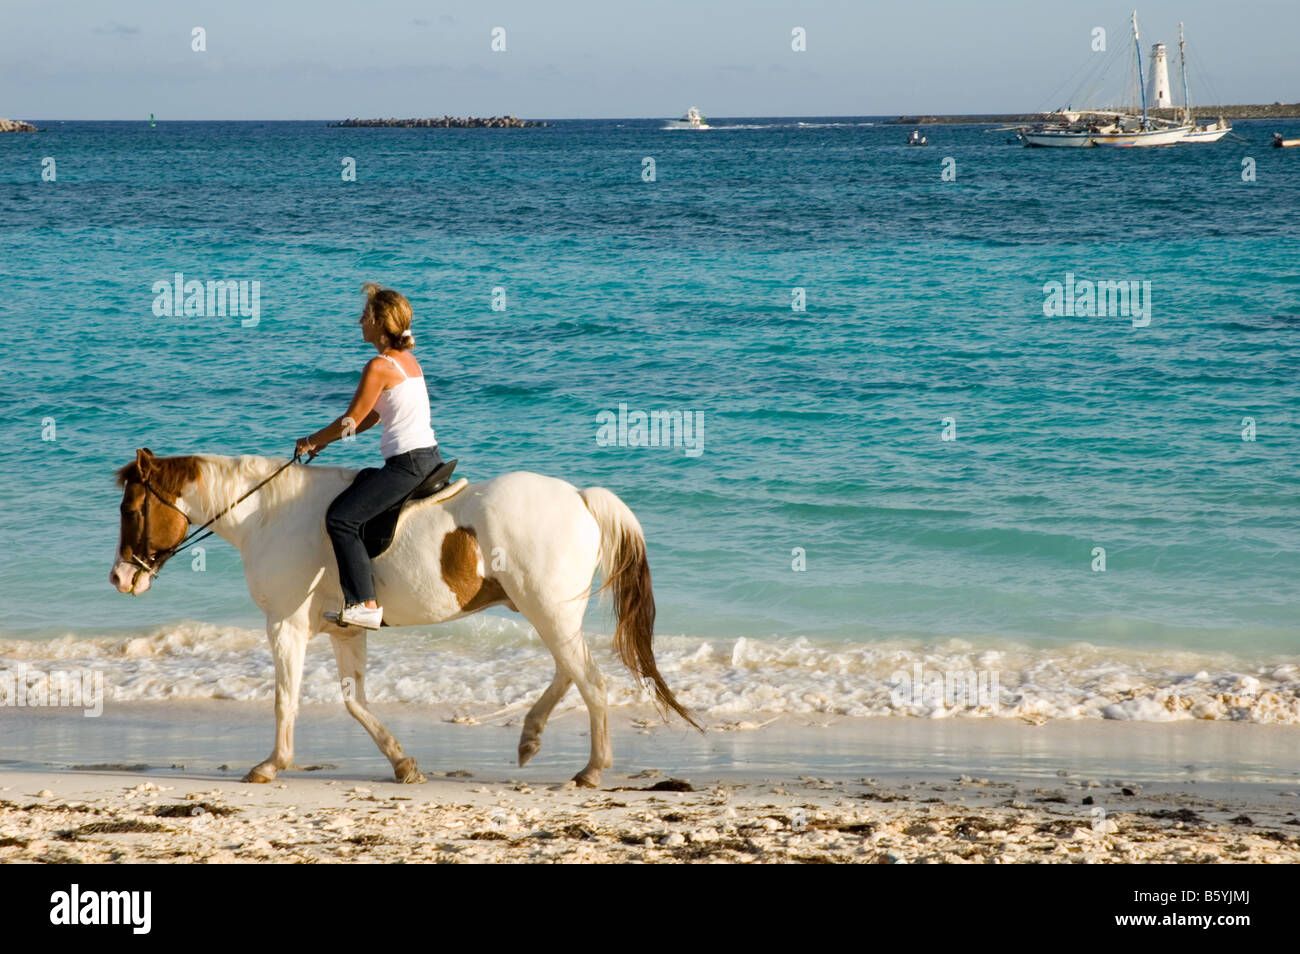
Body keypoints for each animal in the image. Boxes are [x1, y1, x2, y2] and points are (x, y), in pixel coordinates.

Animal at [110, 452, 702, 790]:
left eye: (132, 511)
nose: (120, 578)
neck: (269, 514)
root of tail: (579, 497)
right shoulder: (346, 629)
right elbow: (355, 702)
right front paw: (403, 765)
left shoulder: (285, 626)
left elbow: (285, 699)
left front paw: (271, 765)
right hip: (549, 610)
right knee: (569, 671)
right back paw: (530, 738)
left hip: (547, 609)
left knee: (591, 681)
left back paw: (591, 769)